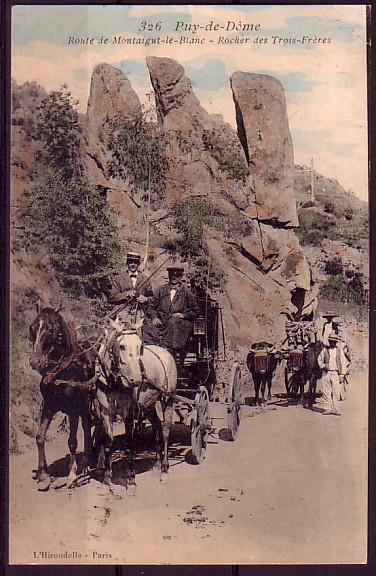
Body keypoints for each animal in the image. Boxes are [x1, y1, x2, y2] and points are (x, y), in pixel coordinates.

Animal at [29, 306, 97, 490]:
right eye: (32, 328)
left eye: (50, 330)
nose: (35, 361)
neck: (62, 370)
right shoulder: (49, 406)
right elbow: (39, 437)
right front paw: (43, 475)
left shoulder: (73, 409)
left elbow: (72, 441)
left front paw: (72, 475)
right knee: (87, 427)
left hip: (84, 405)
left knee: (86, 428)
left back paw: (86, 462)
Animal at [93, 322, 177, 488]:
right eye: (121, 346)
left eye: (140, 346)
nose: (137, 380)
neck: (114, 382)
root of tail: (165, 352)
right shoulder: (106, 413)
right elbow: (108, 442)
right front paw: (107, 476)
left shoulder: (129, 413)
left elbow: (130, 442)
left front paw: (131, 477)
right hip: (150, 405)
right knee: (157, 426)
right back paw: (157, 463)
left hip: (167, 399)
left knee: (165, 431)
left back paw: (164, 469)